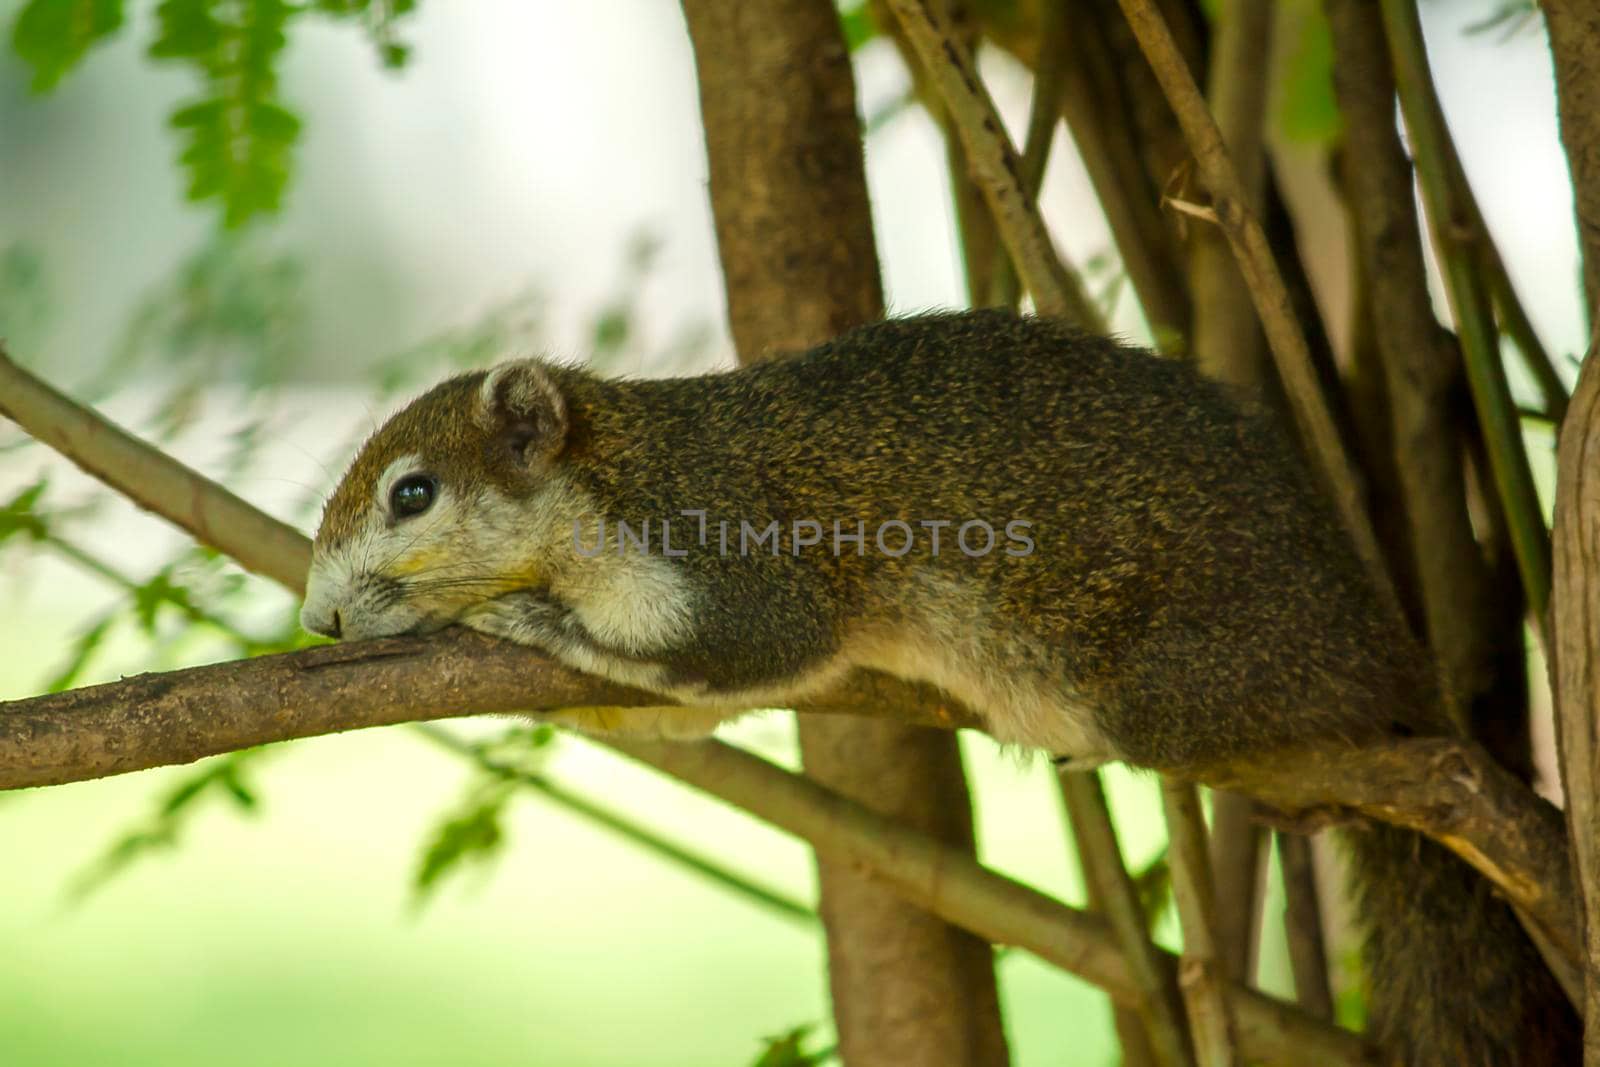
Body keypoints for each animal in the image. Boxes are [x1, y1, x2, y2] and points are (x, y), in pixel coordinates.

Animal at [305, 310, 1580, 1067]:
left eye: (412, 493)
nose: (317, 618)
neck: (615, 470)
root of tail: (1391, 667)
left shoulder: (730, 551)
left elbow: (741, 646)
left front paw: (521, 624)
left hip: (1187, 676)